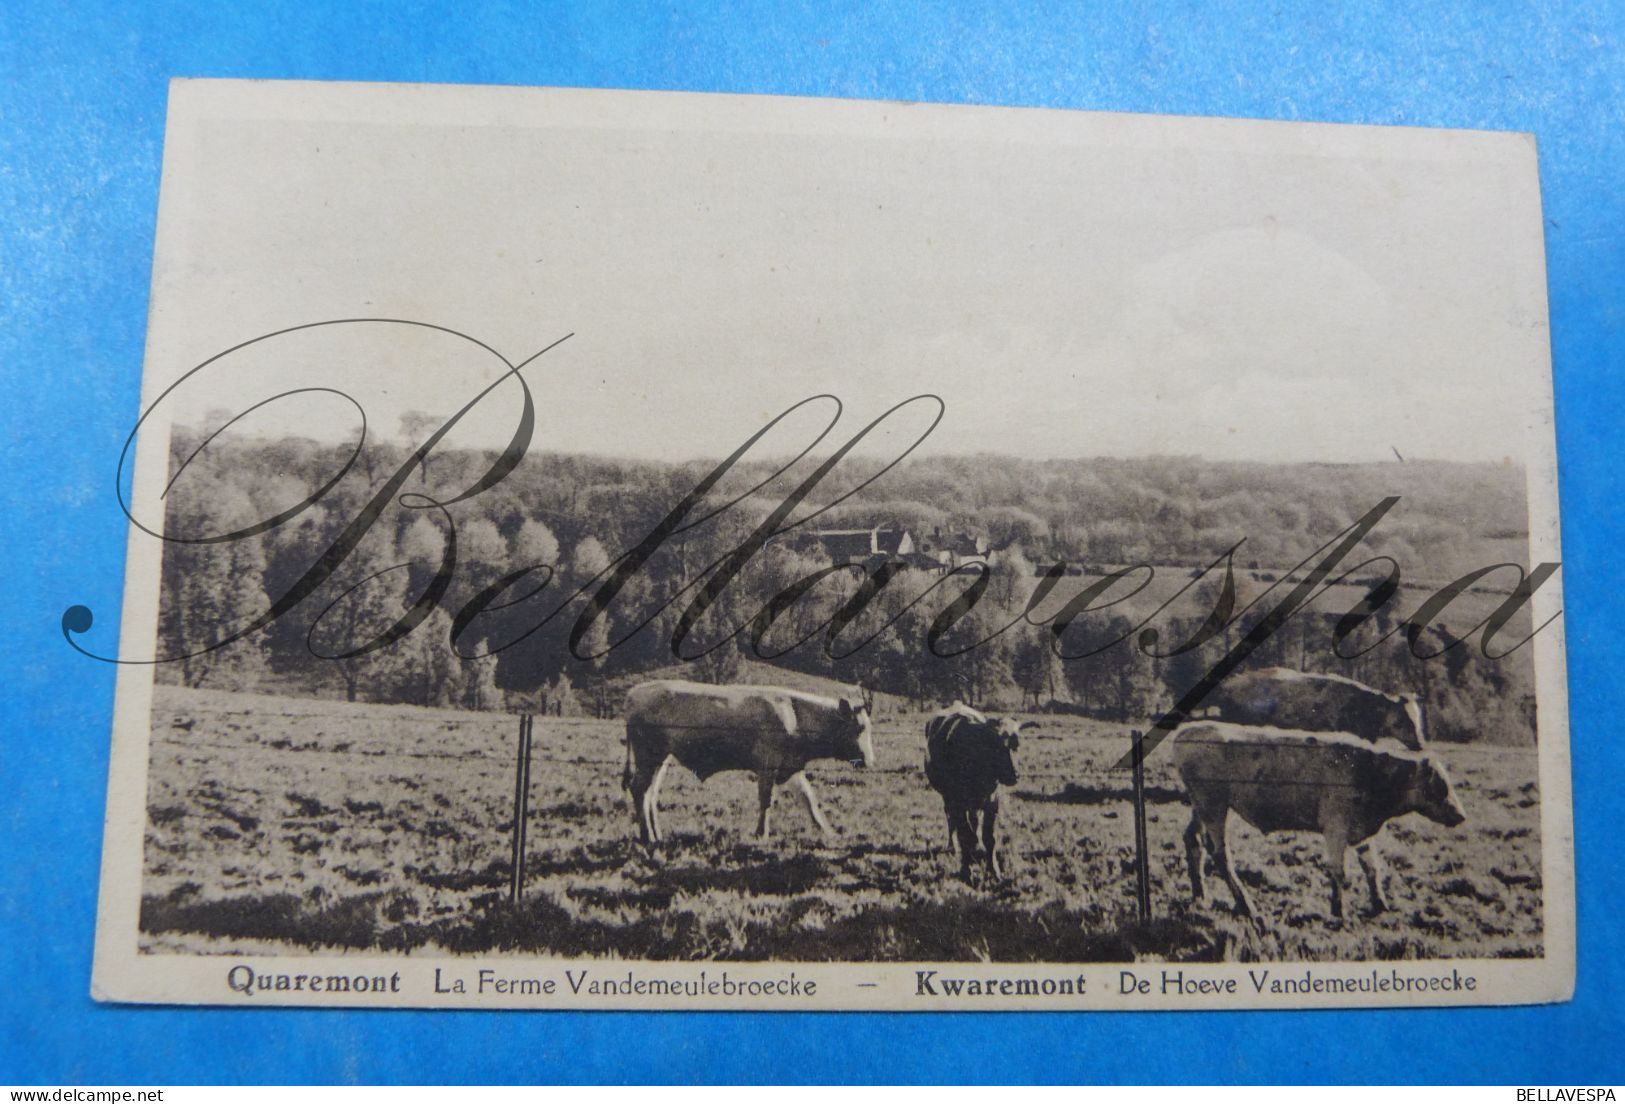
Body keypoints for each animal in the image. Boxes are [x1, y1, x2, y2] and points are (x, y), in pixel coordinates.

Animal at [620, 673, 877, 845]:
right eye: (859, 728)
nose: (869, 761)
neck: (795, 715)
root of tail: (634, 693)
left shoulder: (791, 766)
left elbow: (809, 798)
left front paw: (829, 832)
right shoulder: (767, 765)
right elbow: (766, 800)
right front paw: (761, 833)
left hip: (660, 759)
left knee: (650, 793)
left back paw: (657, 834)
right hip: (649, 755)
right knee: (639, 789)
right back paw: (648, 836)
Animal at [929, 708, 1027, 877]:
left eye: (1016, 746)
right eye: (996, 746)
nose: (1014, 775)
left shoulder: (992, 802)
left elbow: (989, 837)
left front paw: (993, 870)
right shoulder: (957, 803)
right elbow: (964, 834)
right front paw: (965, 869)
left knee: (973, 821)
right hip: (947, 799)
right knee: (951, 821)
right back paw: (952, 846)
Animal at [1176, 721, 1469, 917]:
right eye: (1439, 786)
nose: (1461, 815)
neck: (1368, 770)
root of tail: (1188, 732)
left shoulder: (1362, 831)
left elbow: (1372, 867)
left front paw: (1381, 905)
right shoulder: (1335, 827)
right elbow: (1339, 871)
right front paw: (1338, 912)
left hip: (1200, 807)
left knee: (1192, 840)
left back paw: (1200, 896)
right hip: (1213, 806)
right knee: (1220, 853)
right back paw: (1247, 906)